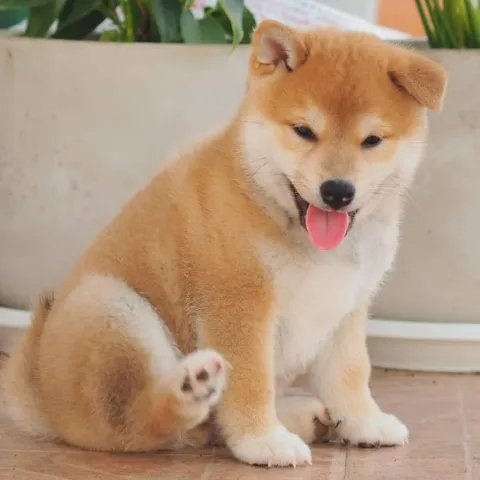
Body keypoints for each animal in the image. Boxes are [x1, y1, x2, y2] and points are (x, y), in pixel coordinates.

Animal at [4, 20, 447, 467]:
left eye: (372, 140)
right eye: (304, 131)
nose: (337, 191)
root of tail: (41, 397)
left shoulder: (347, 305)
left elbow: (350, 372)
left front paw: (363, 422)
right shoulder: (240, 302)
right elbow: (251, 379)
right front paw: (262, 439)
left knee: (207, 428)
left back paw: (304, 416)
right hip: (109, 304)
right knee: (142, 425)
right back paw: (193, 389)